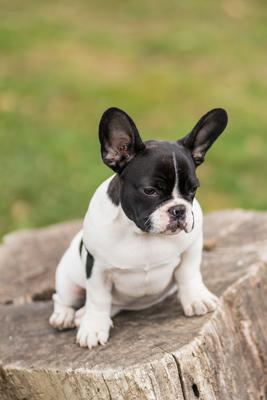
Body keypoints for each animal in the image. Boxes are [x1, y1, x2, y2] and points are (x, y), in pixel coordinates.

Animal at [49, 108, 228, 348]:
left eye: (192, 190)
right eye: (150, 191)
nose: (179, 209)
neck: (141, 233)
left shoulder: (192, 247)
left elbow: (189, 272)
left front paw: (196, 298)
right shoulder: (97, 267)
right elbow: (98, 299)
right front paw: (93, 327)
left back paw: (81, 314)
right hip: (68, 281)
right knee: (62, 298)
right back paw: (65, 316)